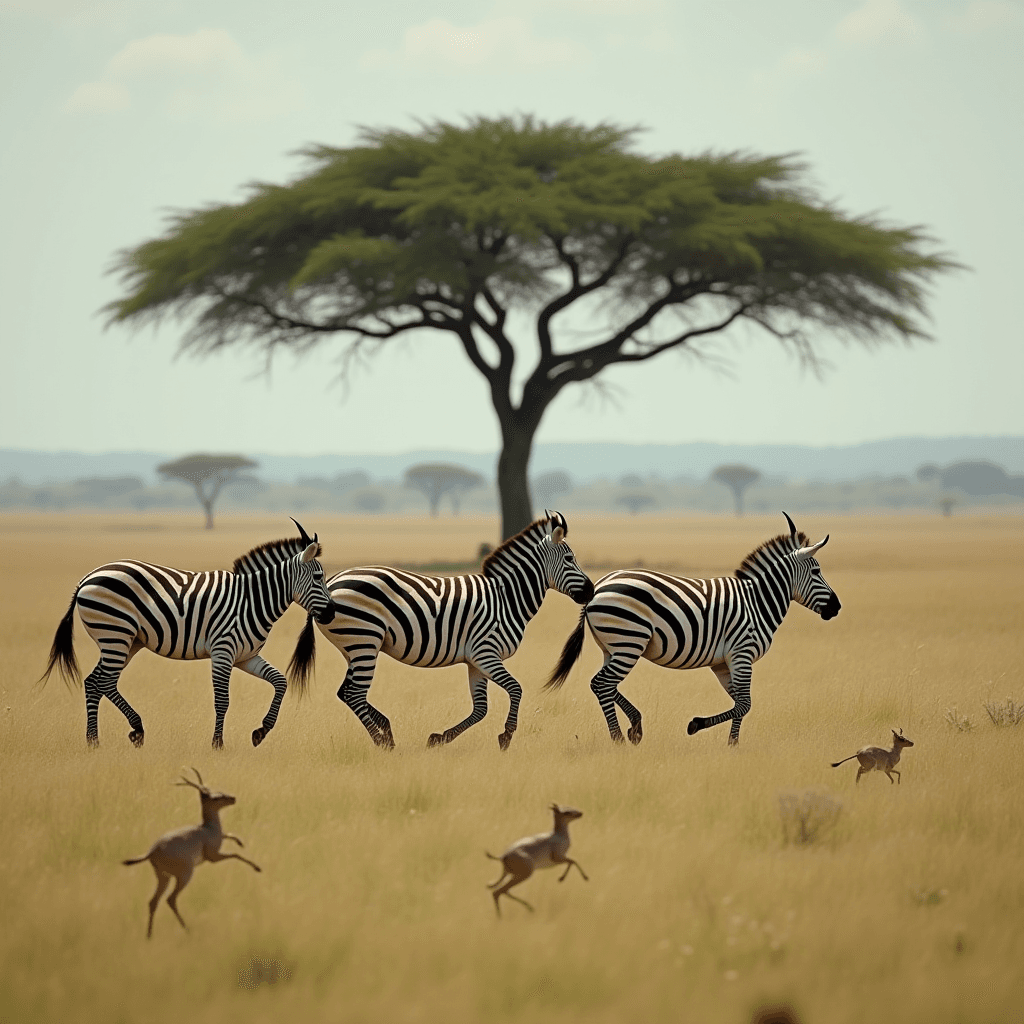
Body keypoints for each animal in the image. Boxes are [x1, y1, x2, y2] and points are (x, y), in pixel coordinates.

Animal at [41, 524, 337, 749]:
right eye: (319, 577)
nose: (333, 612)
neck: (251, 601)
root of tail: (87, 577)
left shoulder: (246, 656)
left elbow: (280, 682)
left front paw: (261, 731)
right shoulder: (223, 651)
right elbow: (222, 700)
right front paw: (217, 744)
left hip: (126, 641)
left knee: (96, 682)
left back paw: (95, 740)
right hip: (115, 634)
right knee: (103, 682)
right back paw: (130, 730)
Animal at [288, 512, 593, 753]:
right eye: (569, 558)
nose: (590, 591)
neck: (507, 598)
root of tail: (331, 584)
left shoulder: (475, 661)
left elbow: (480, 709)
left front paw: (439, 738)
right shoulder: (486, 653)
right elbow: (515, 689)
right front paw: (506, 735)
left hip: (355, 647)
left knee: (346, 692)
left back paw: (386, 729)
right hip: (364, 641)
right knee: (353, 693)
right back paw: (382, 741)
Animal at [544, 512, 839, 745]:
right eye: (816, 571)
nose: (837, 607)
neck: (757, 602)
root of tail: (597, 589)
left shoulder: (723, 663)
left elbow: (739, 705)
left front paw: (732, 745)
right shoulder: (742, 654)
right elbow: (745, 704)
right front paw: (700, 727)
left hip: (613, 647)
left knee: (603, 684)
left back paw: (634, 727)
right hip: (630, 642)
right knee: (602, 683)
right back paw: (618, 738)